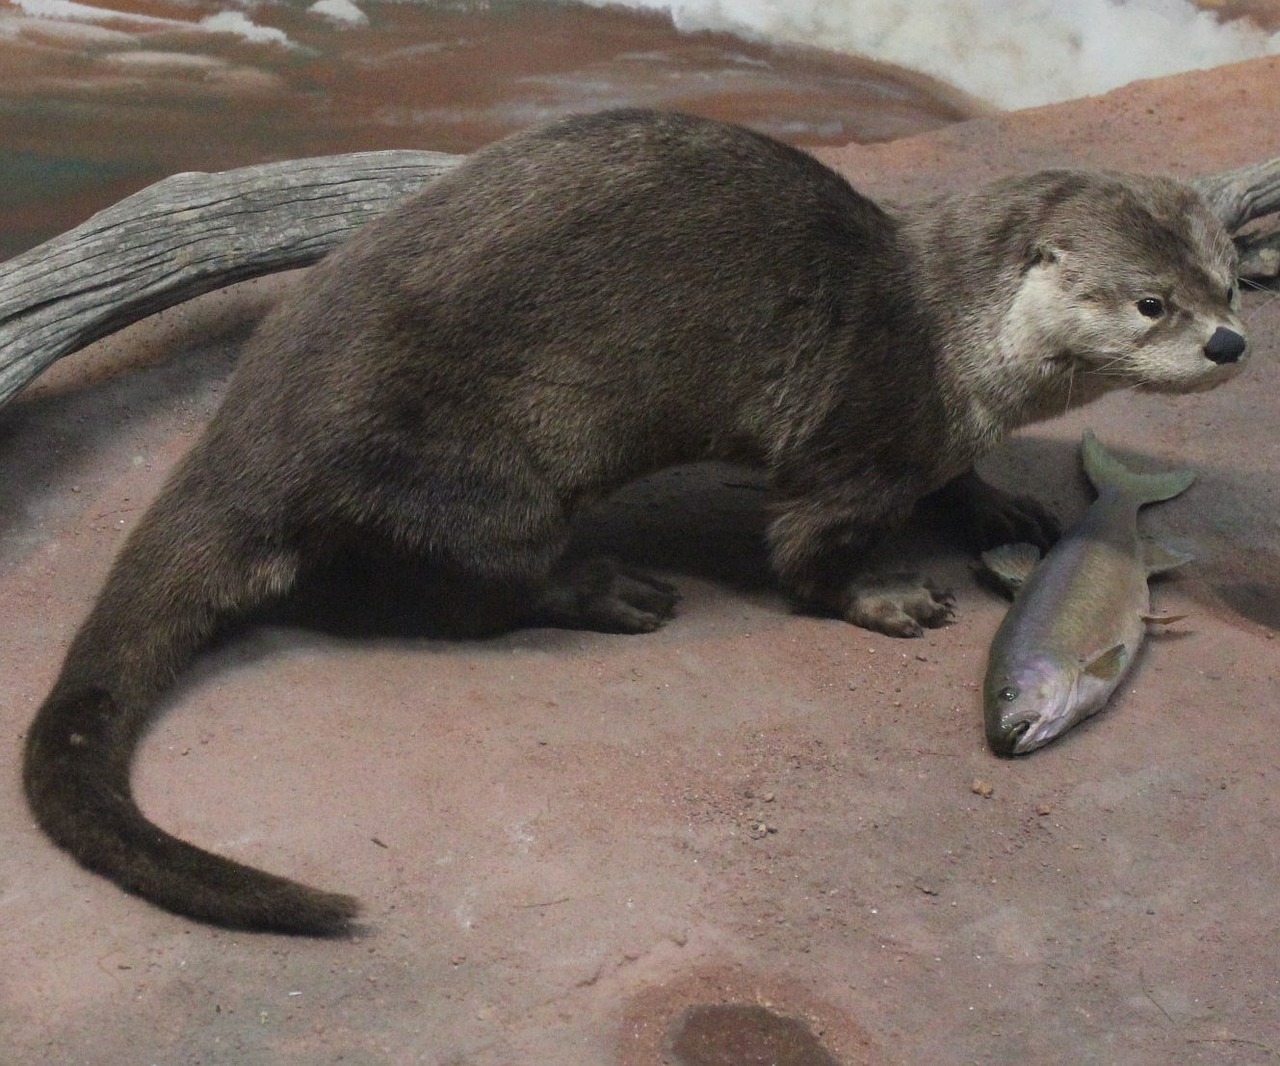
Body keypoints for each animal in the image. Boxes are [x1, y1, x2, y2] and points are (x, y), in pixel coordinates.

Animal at [20, 108, 1244, 931]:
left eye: (1228, 279)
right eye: (1151, 303)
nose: (1231, 342)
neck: (951, 339)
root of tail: (246, 427)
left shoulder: (932, 428)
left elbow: (957, 481)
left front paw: (999, 500)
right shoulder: (861, 430)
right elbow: (806, 551)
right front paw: (888, 596)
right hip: (471, 478)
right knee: (471, 583)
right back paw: (610, 588)